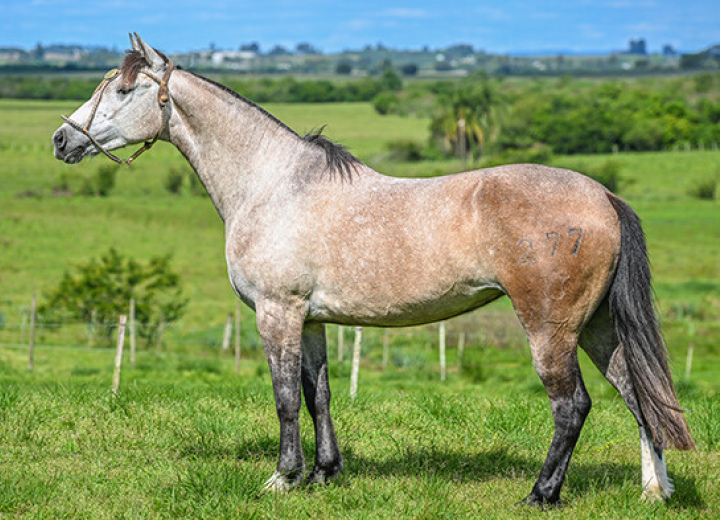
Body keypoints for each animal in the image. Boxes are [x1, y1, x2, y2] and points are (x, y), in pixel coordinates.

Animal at [50, 34, 692, 506]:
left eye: (124, 89)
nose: (61, 139)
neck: (273, 184)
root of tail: (602, 195)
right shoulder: (310, 319)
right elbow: (319, 395)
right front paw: (324, 474)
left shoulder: (277, 314)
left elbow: (285, 398)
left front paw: (282, 478)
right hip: (598, 326)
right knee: (640, 398)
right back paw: (655, 490)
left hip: (551, 329)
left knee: (573, 406)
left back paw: (540, 494)